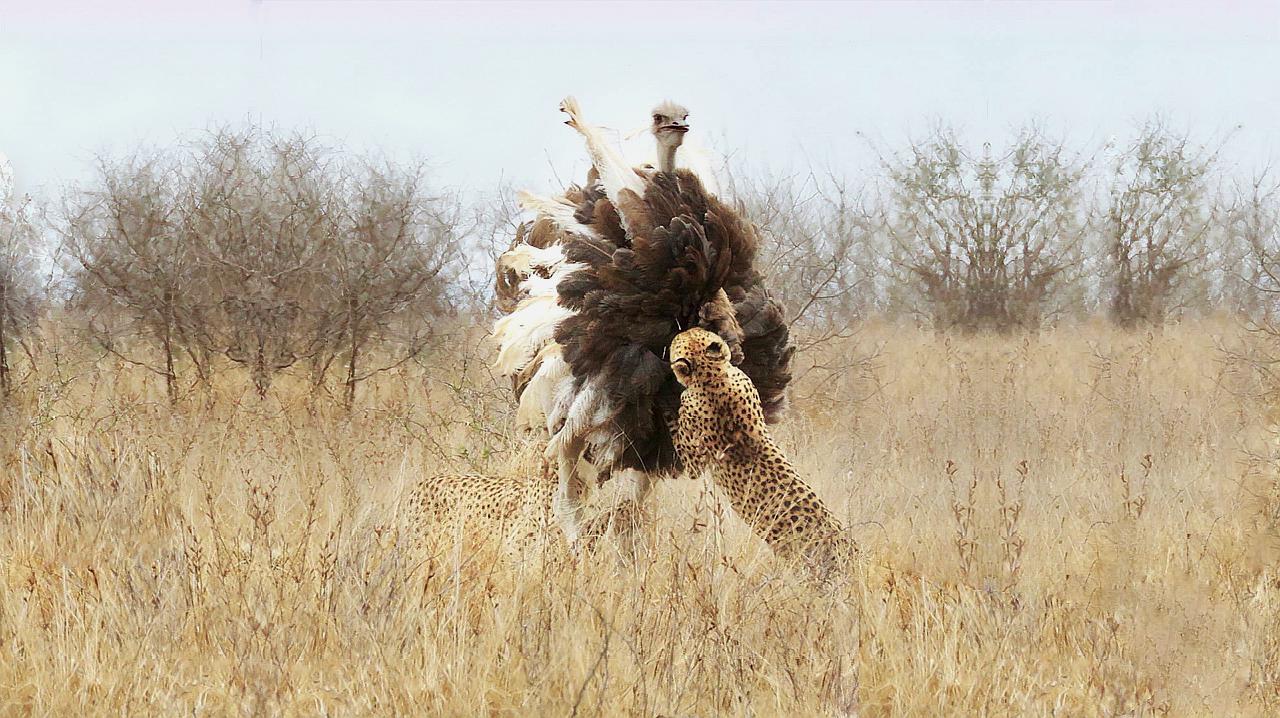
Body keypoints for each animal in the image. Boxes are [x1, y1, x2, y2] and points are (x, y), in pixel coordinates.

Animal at [665, 326, 855, 575]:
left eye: (678, 341)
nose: (687, 328)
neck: (712, 375)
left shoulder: (694, 462)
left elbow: (681, 444)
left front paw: (665, 411)